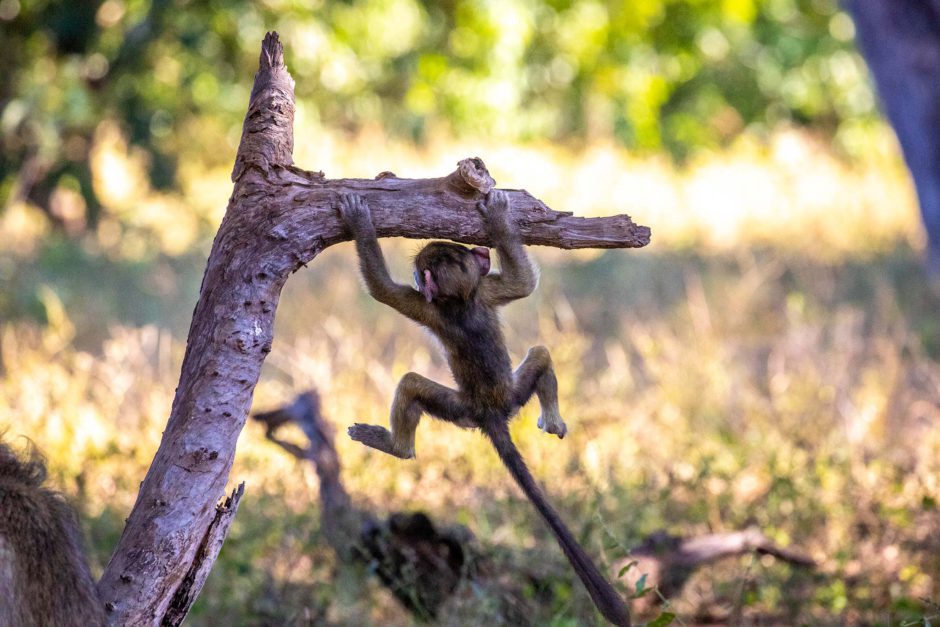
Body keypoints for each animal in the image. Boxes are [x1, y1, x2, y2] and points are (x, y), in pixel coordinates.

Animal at [338, 191, 632, 627]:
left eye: (426, 266)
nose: (477, 252)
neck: (461, 300)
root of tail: (490, 411)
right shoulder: (478, 294)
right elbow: (522, 283)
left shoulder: (447, 302)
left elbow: (382, 288)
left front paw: (362, 223)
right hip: (492, 400)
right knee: (537, 355)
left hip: (467, 408)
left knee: (411, 384)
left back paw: (398, 446)